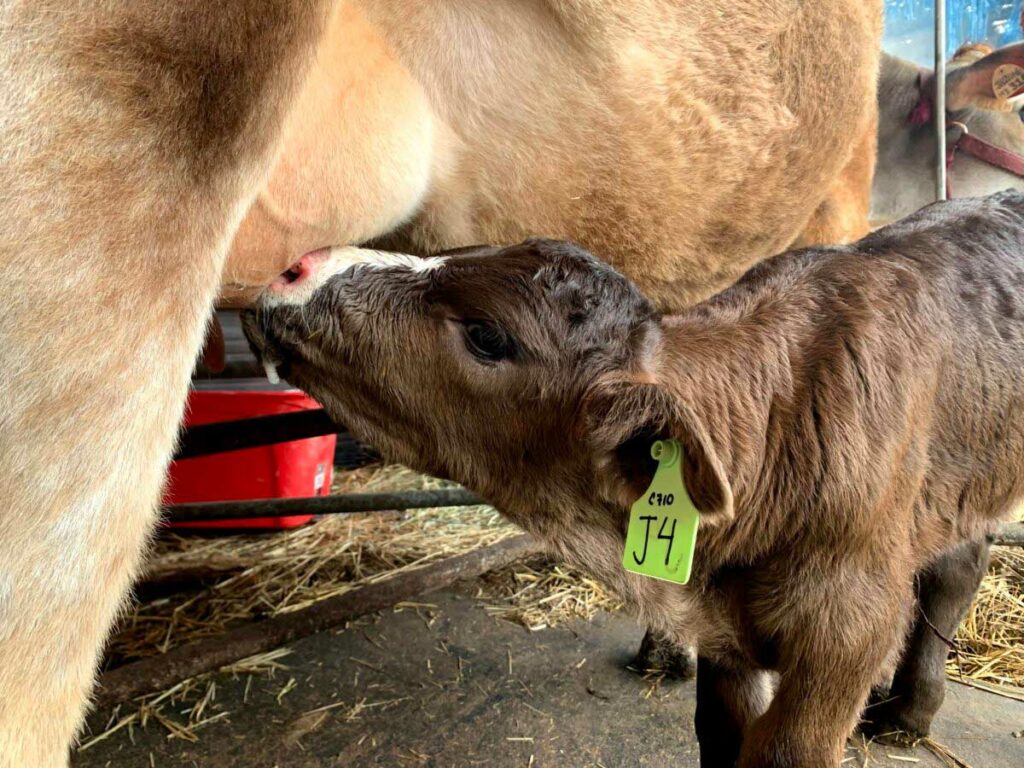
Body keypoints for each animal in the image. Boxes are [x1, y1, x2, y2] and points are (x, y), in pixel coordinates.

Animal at [243, 191, 1024, 765]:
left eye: (488, 335)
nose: (298, 267)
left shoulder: (847, 634)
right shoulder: (723, 635)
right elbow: (719, 736)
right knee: (960, 557)